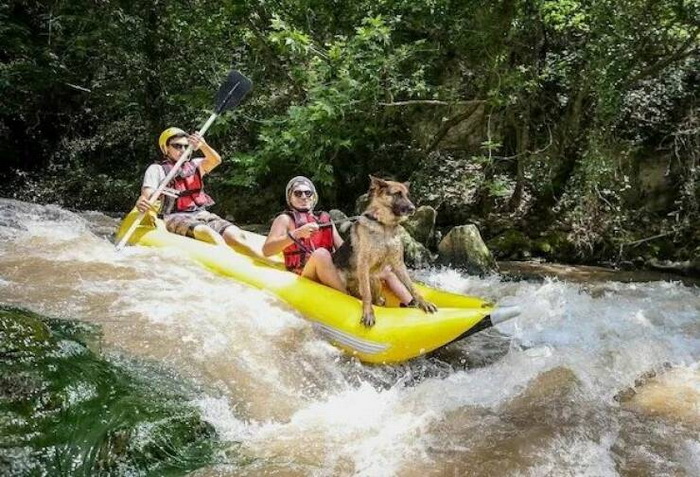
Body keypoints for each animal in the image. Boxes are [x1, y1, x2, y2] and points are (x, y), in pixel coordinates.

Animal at [334, 175, 438, 328]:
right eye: (397, 194)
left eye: (407, 195)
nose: (413, 209)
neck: (384, 225)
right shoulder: (363, 264)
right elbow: (366, 294)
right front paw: (368, 313)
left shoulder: (398, 264)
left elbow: (412, 287)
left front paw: (423, 302)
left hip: (376, 280)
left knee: (377, 299)